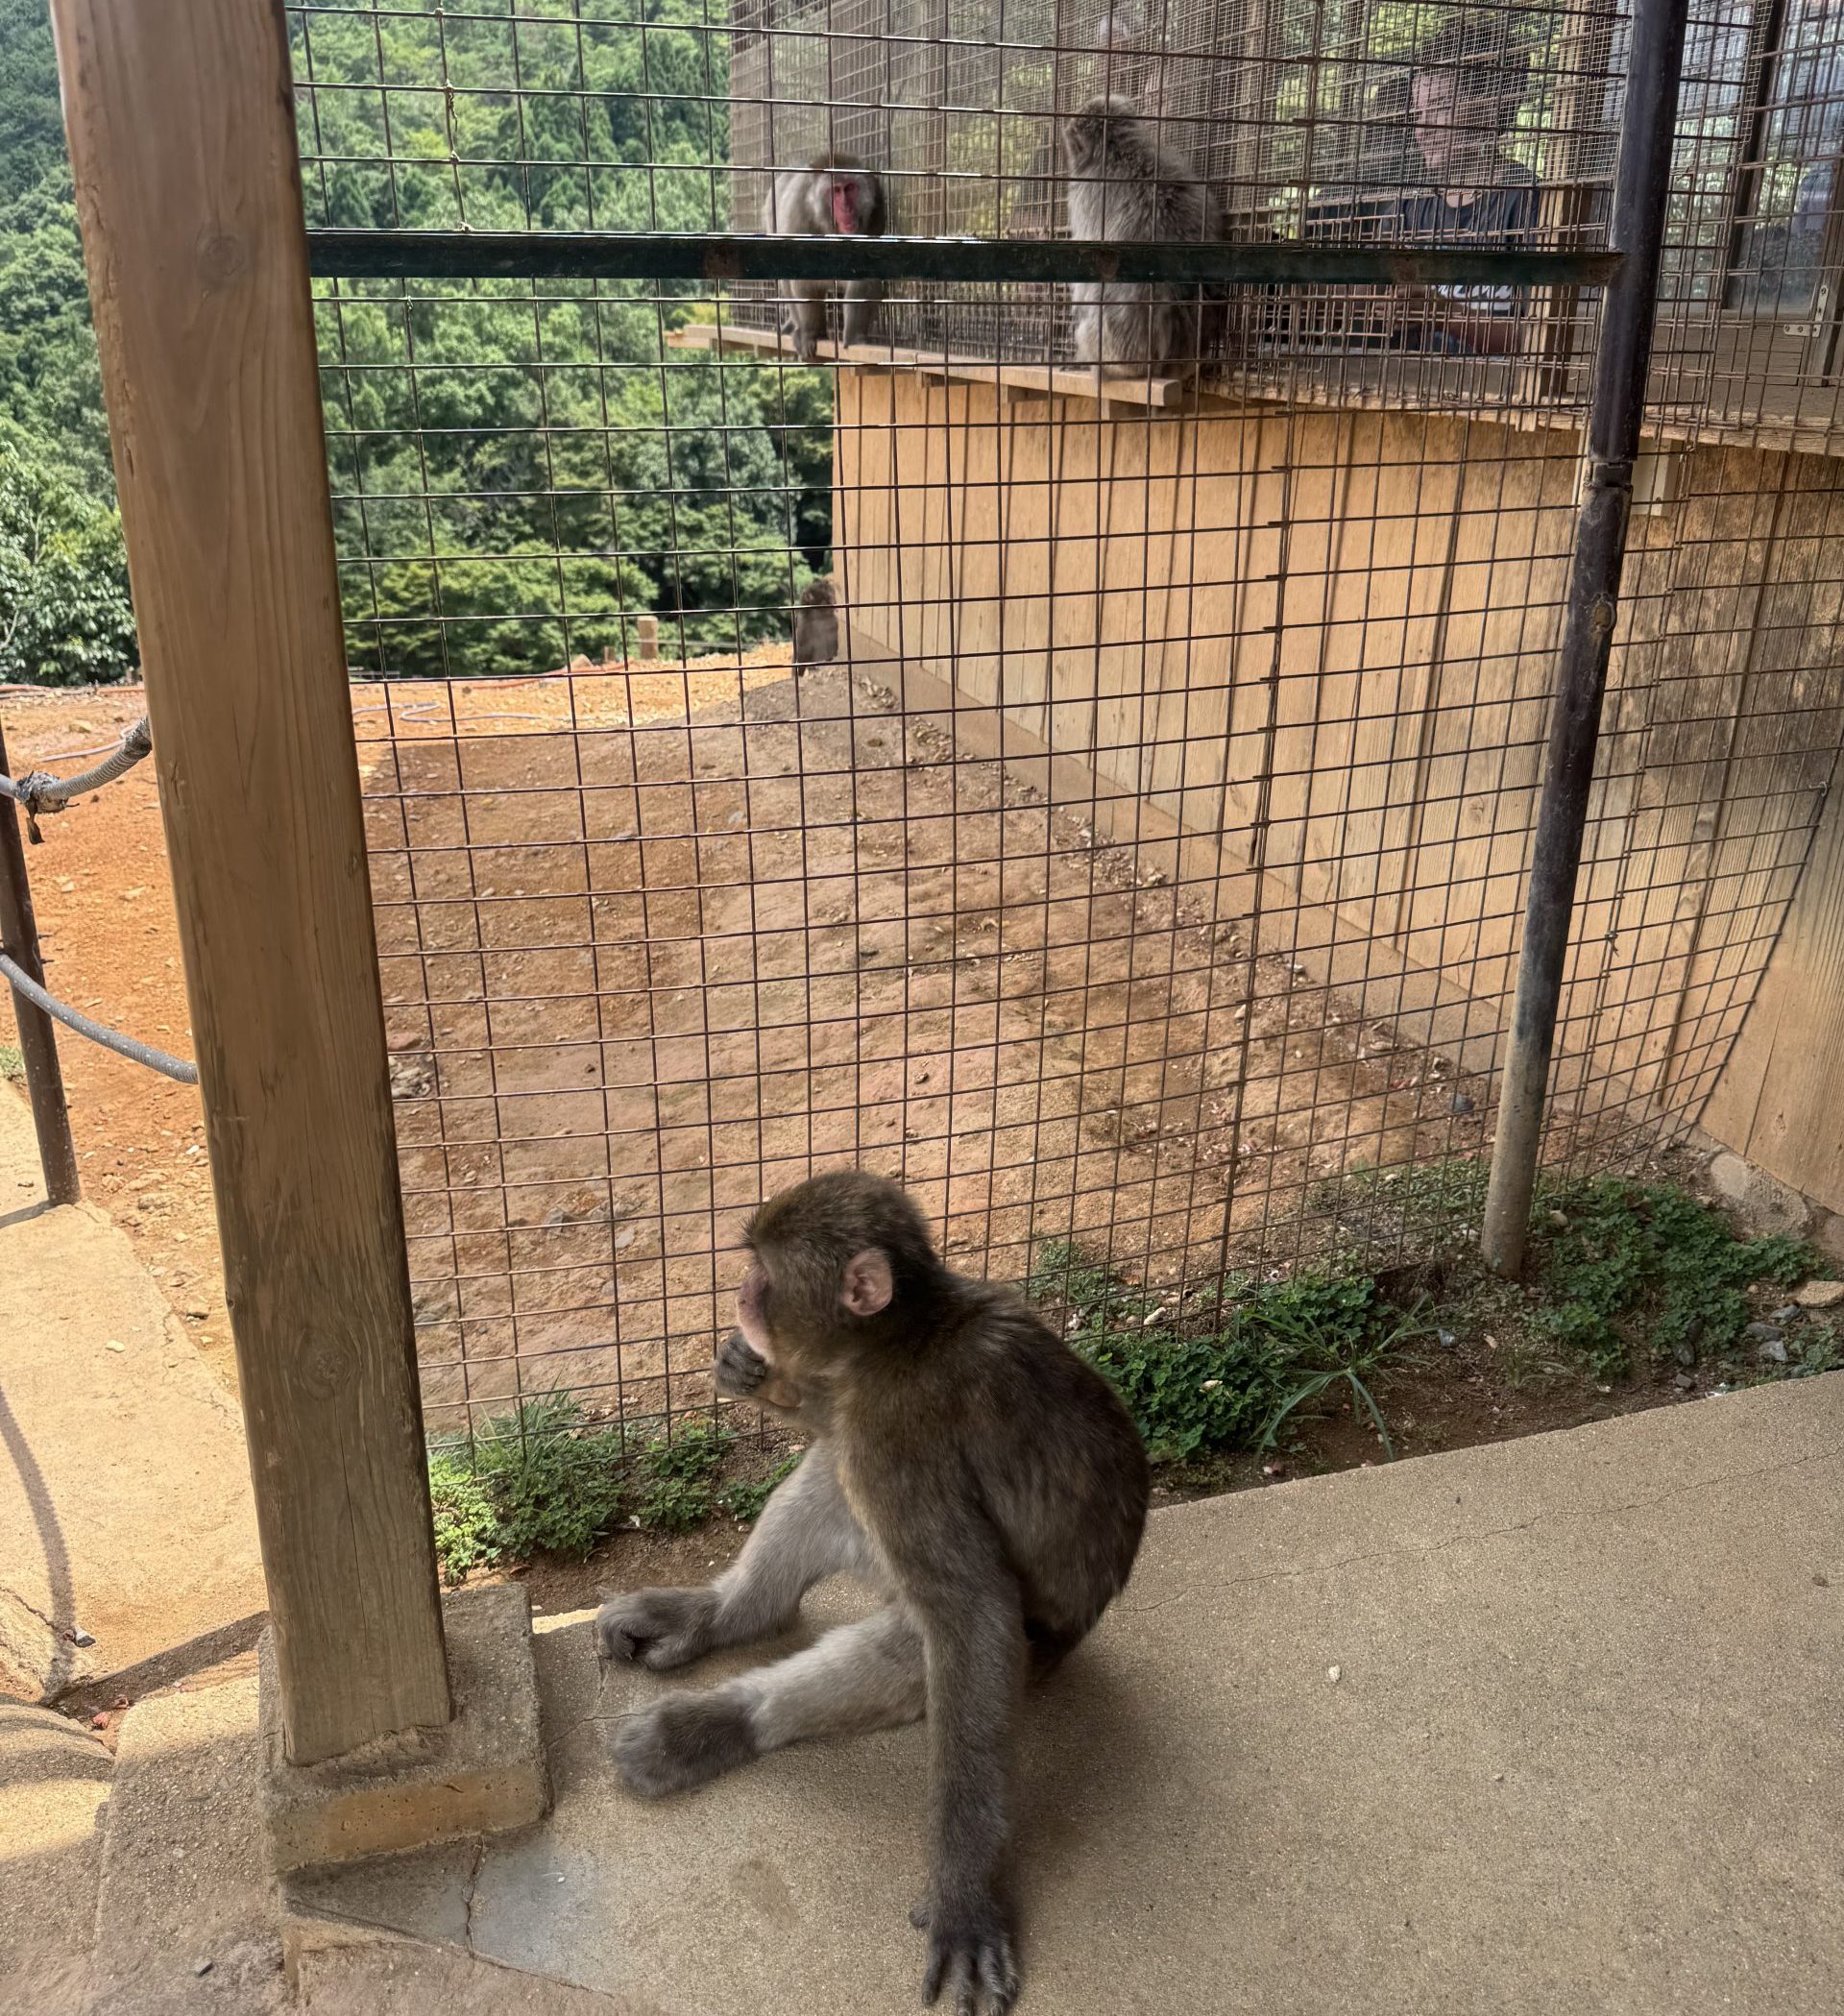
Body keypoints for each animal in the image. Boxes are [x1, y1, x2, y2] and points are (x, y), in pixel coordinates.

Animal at [597, 1171, 1150, 2016]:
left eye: (763, 1271)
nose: (740, 1294)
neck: (899, 1339)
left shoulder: (897, 1439)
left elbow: (973, 1617)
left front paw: (962, 1894)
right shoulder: (861, 1404)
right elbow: (828, 1421)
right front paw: (753, 1375)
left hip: (1036, 1644)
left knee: (918, 1636)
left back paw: (719, 1724)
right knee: (830, 1470)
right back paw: (724, 1613)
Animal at [761, 153, 889, 362]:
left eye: (850, 187)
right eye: (835, 191)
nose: (846, 208)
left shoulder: (876, 215)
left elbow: (865, 279)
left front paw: (855, 337)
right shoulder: (799, 218)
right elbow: (803, 282)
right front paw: (811, 333)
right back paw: (798, 328)